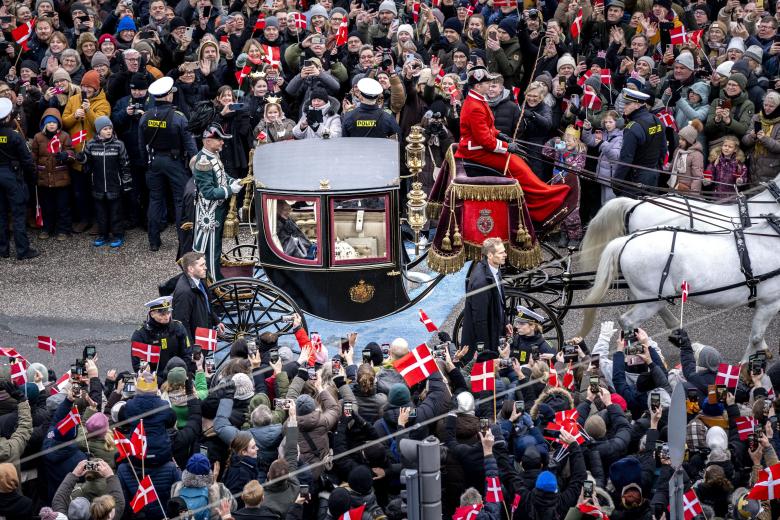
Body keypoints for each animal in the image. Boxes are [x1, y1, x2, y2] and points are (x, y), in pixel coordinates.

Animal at [580, 223, 780, 362]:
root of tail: (626, 240)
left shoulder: (765, 303)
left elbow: (757, 335)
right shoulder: (770, 302)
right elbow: (756, 336)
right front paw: (746, 367)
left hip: (648, 297)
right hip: (649, 300)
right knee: (627, 321)